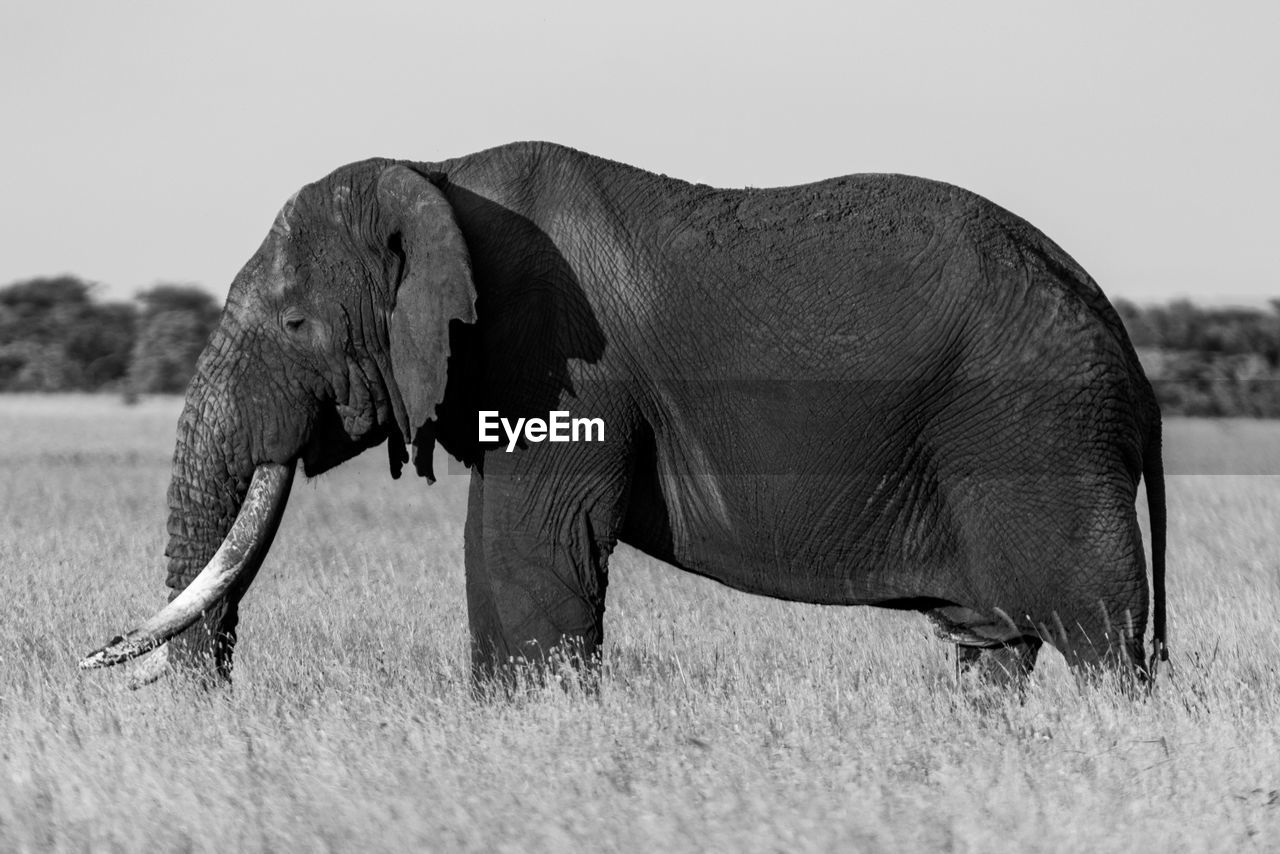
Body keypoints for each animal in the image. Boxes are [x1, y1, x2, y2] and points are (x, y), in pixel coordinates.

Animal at [74, 140, 1167, 686]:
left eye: (297, 322)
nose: (100, 660)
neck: (435, 174)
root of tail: (1117, 331)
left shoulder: (561, 363)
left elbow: (530, 549)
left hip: (1033, 429)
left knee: (1098, 634)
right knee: (995, 649)